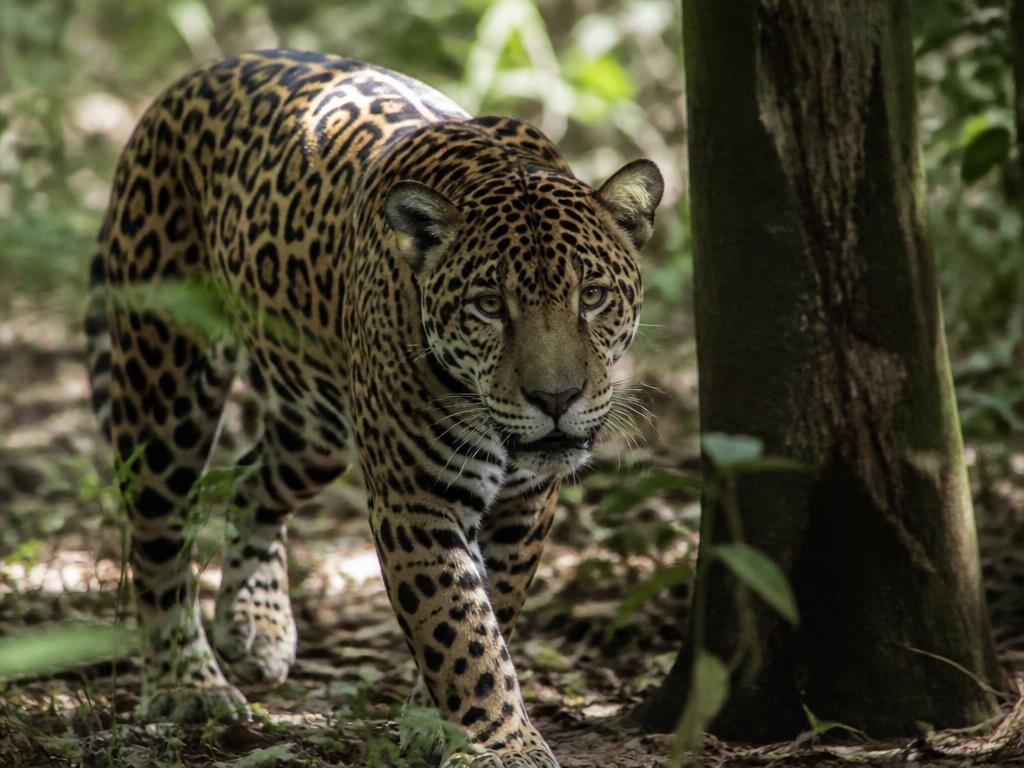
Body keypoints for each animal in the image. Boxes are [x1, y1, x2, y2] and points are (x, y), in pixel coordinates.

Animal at [85, 48, 663, 768]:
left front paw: (435, 720)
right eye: (490, 306)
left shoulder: (527, 506)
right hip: (165, 379)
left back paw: (255, 624)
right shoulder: (418, 501)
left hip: (316, 422)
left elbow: (490, 608)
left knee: (252, 479)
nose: (556, 398)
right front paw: (503, 744)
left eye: (592, 296)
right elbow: (459, 631)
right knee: (158, 530)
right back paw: (187, 683)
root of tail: (193, 77)